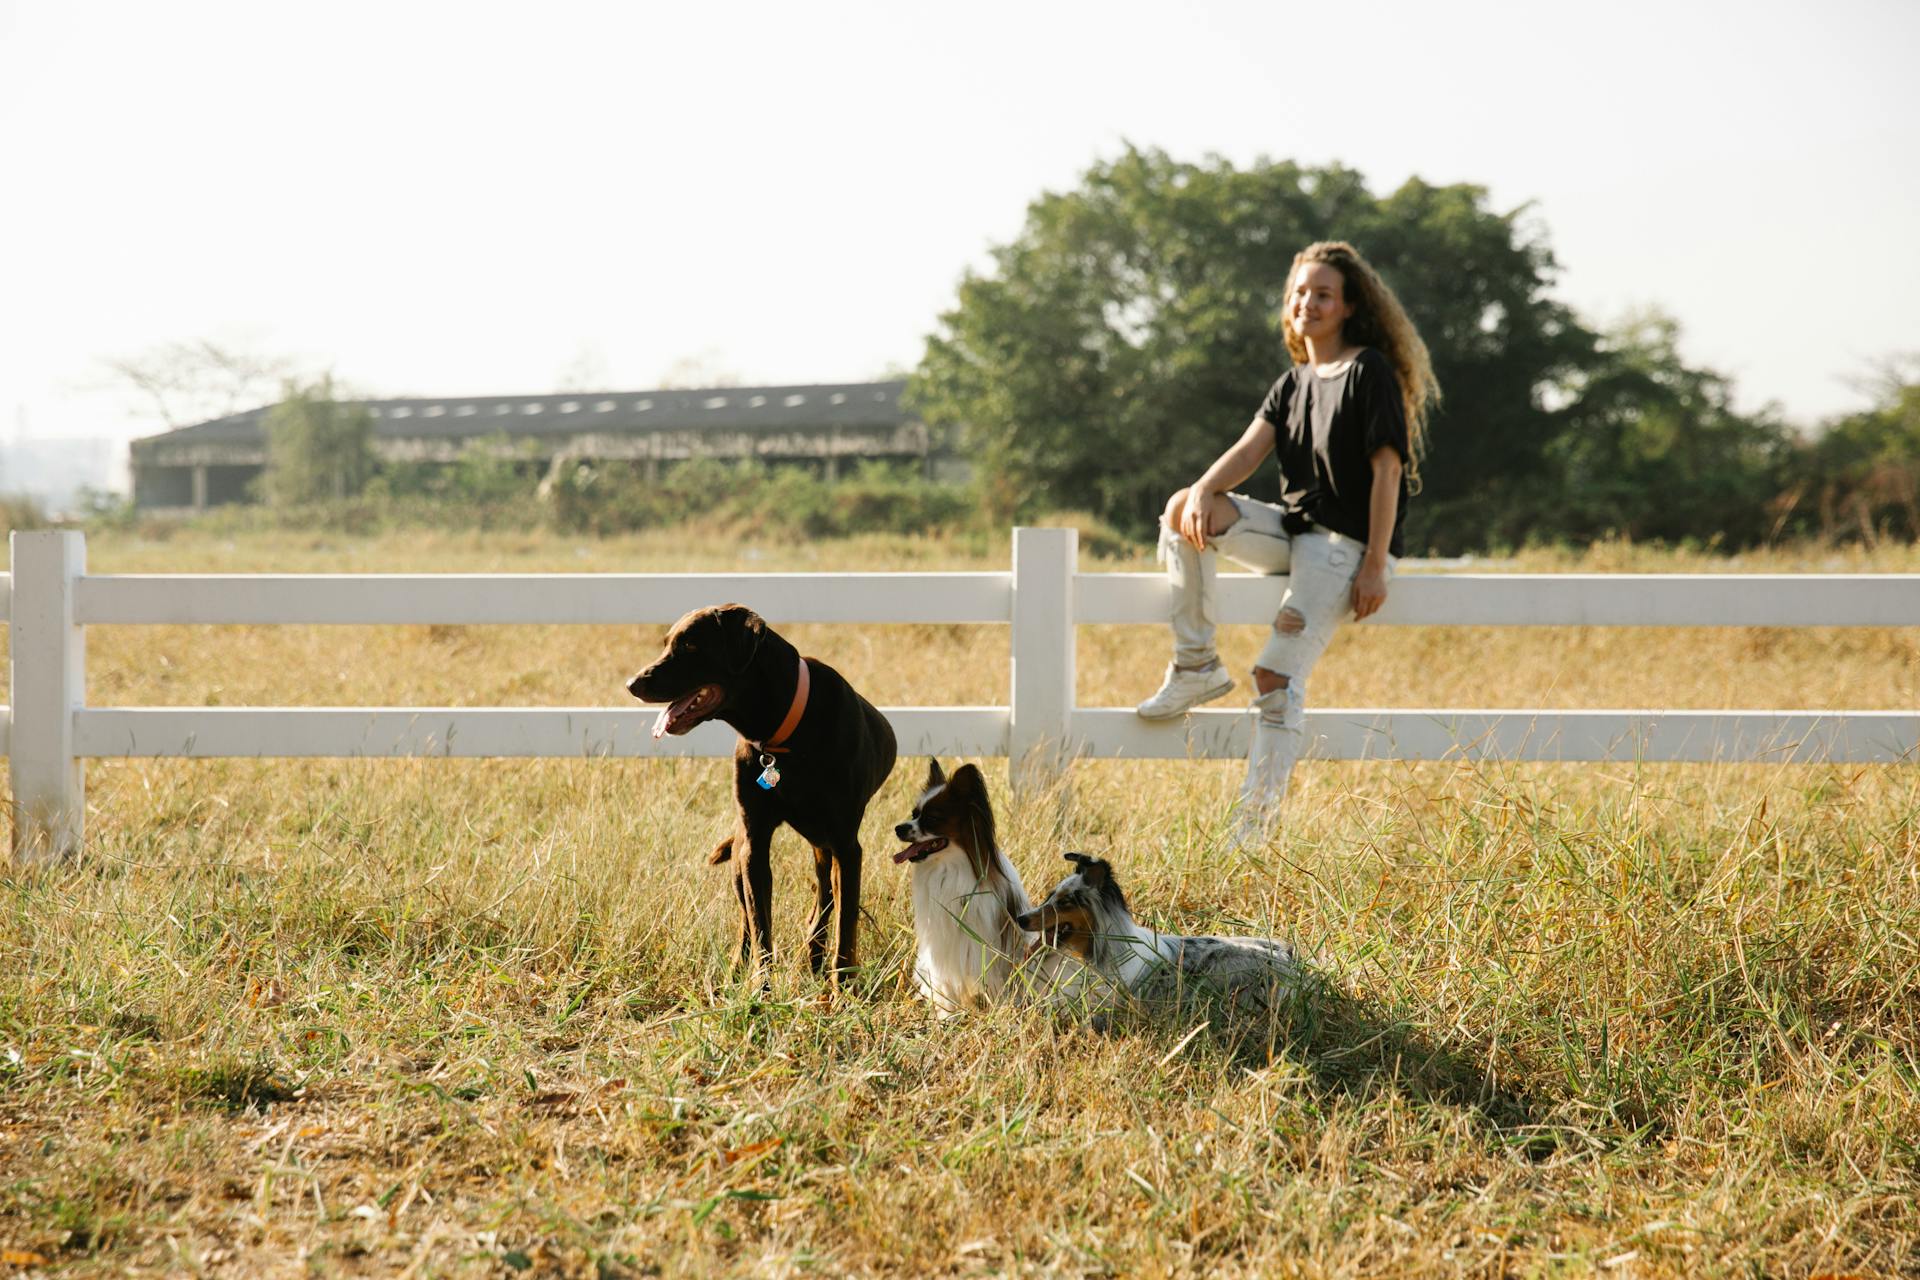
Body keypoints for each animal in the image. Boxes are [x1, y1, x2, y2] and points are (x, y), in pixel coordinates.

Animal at [629, 606, 898, 974]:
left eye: (691, 646)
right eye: (668, 643)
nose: (631, 684)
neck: (786, 733)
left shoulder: (846, 846)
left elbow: (845, 930)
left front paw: (842, 983)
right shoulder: (754, 844)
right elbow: (760, 931)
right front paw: (761, 986)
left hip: (826, 846)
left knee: (826, 898)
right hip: (744, 857)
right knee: (751, 917)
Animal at [887, 756, 1044, 1013]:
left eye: (932, 819)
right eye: (914, 813)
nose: (899, 828)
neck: (949, 867)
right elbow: (944, 981)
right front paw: (945, 1014)